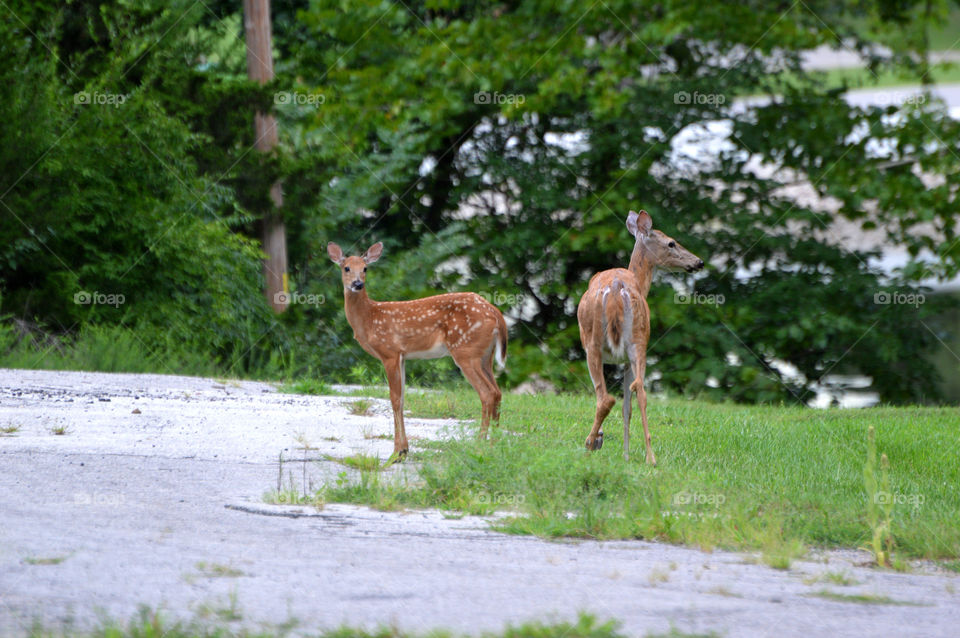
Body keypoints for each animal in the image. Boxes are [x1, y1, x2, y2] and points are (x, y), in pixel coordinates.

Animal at [327, 241, 508, 462]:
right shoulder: (402, 356)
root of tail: (496, 314)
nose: (357, 284)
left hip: (466, 350)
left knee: (487, 393)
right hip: (485, 356)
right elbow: (403, 398)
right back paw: (494, 443)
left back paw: (480, 443)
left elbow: (395, 399)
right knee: (497, 392)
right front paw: (404, 450)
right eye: (346, 268)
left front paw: (397, 453)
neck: (369, 318)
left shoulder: (389, 352)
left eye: (365, 268)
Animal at [577, 210, 704, 464]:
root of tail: (617, 286)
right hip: (639, 341)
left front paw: (602, 442)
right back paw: (650, 457)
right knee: (641, 392)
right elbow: (628, 407)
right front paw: (626, 456)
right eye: (671, 243)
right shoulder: (626, 358)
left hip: (593, 343)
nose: (698, 262)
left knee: (605, 398)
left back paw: (589, 445)